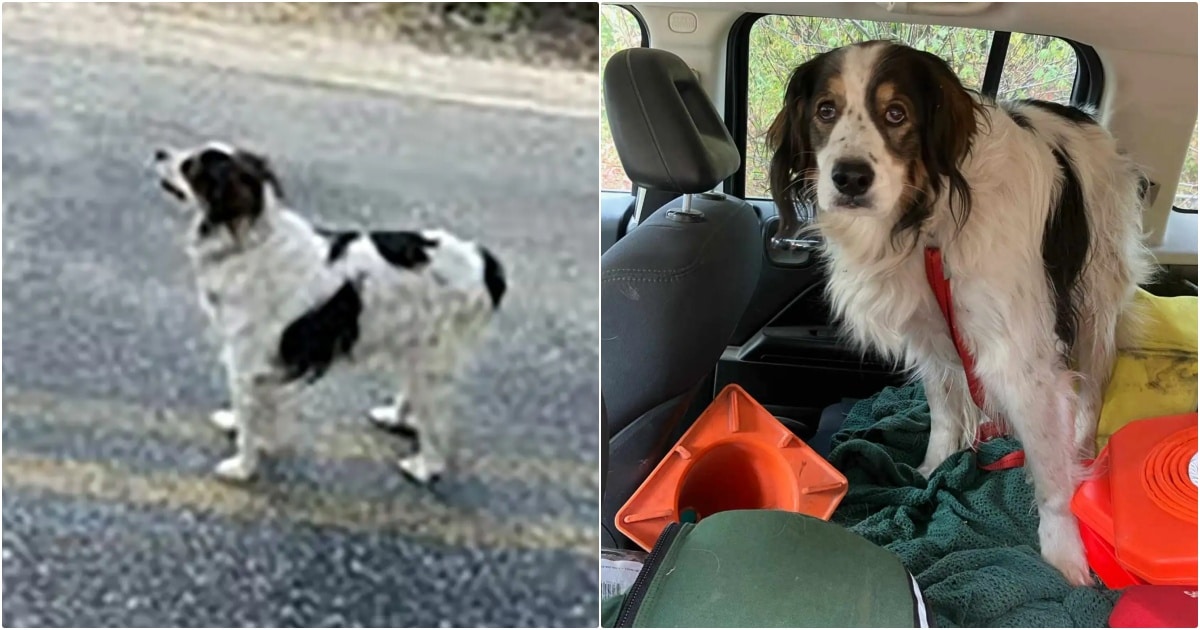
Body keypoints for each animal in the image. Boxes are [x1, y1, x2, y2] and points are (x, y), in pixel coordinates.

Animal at [151, 142, 506, 484]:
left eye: (190, 166)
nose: (159, 152)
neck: (249, 238)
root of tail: (482, 259)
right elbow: (262, 409)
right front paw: (244, 429)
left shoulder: (245, 361)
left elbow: (250, 419)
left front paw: (243, 467)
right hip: (417, 347)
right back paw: (394, 418)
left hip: (432, 356)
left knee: (436, 420)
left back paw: (425, 468)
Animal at [768, 40, 1152, 585]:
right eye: (825, 110)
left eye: (896, 113)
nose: (849, 177)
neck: (929, 221)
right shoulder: (929, 330)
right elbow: (945, 410)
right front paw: (934, 468)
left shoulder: (1019, 356)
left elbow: (1049, 468)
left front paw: (1063, 550)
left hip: (1097, 295)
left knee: (1093, 384)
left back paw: (1081, 450)